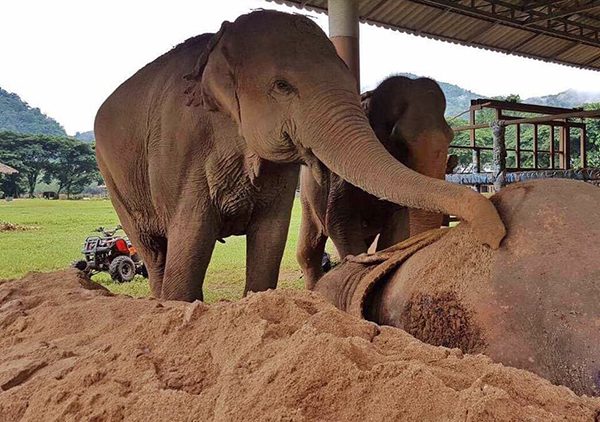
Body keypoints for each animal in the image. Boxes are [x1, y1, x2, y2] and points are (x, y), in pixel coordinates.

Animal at [298, 75, 458, 286]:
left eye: (451, 136)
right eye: (399, 142)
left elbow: (397, 228)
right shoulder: (342, 167)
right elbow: (341, 223)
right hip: (306, 195)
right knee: (308, 251)